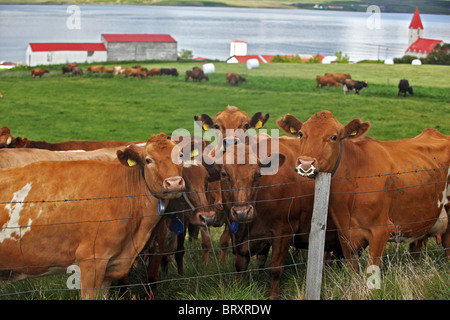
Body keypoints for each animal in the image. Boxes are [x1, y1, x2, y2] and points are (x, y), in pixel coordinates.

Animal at [286, 110, 448, 270]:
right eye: (301, 134)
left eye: (334, 137)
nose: (306, 163)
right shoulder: (345, 235)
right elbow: (353, 270)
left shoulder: (381, 231)